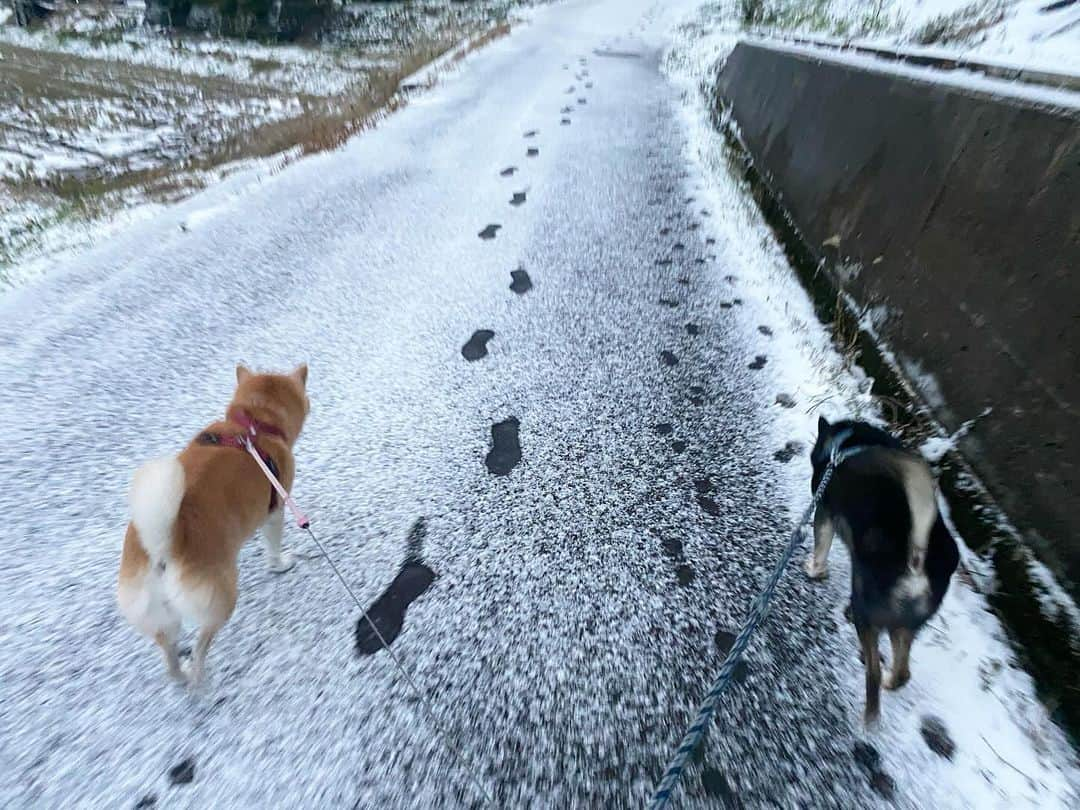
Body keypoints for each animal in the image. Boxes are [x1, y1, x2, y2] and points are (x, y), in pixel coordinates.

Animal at [117, 365, 308, 686]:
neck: (254, 426)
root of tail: (163, 545)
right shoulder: (276, 509)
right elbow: (273, 545)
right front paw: (280, 564)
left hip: (160, 614)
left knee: (169, 654)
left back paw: (181, 676)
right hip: (220, 598)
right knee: (201, 646)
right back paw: (199, 679)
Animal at [807, 419, 959, 721]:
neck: (844, 445)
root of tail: (916, 558)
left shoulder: (825, 513)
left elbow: (821, 547)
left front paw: (814, 570)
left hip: (866, 609)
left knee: (873, 673)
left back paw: (869, 715)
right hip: (907, 624)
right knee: (903, 672)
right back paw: (891, 681)